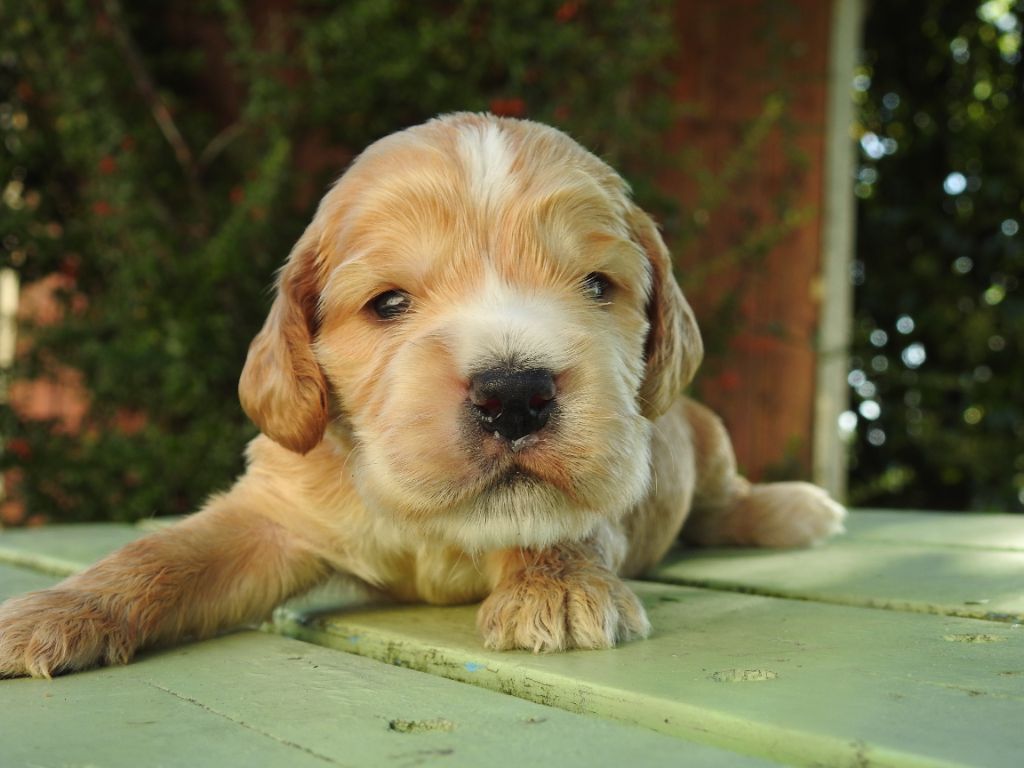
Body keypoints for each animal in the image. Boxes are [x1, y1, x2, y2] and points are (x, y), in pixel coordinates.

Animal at [0, 114, 843, 679]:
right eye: (389, 304)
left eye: (599, 287)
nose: (515, 395)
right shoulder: (274, 514)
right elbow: (162, 553)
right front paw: (58, 611)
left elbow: (566, 518)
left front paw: (558, 584)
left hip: (703, 433)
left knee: (726, 497)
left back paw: (797, 509)